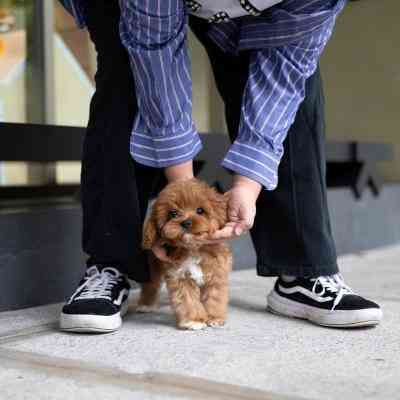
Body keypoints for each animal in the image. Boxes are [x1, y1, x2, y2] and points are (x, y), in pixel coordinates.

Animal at [138, 180, 233, 330]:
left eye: (200, 210)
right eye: (173, 213)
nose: (186, 222)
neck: (193, 248)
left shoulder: (216, 274)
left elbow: (214, 298)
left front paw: (214, 318)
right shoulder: (181, 277)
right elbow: (188, 301)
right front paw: (194, 320)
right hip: (152, 266)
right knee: (151, 284)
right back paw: (146, 304)